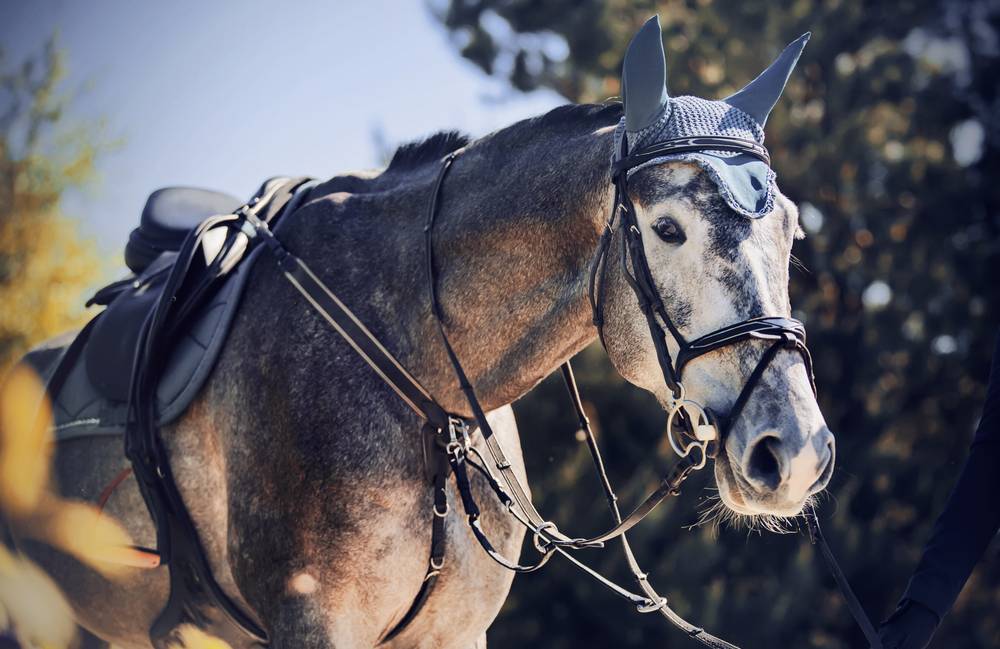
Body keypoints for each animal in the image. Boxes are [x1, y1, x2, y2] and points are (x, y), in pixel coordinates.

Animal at [11, 24, 832, 648]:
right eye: (667, 228)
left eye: (791, 231)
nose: (794, 452)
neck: (421, 377)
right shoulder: (313, 627)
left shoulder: (455, 633)